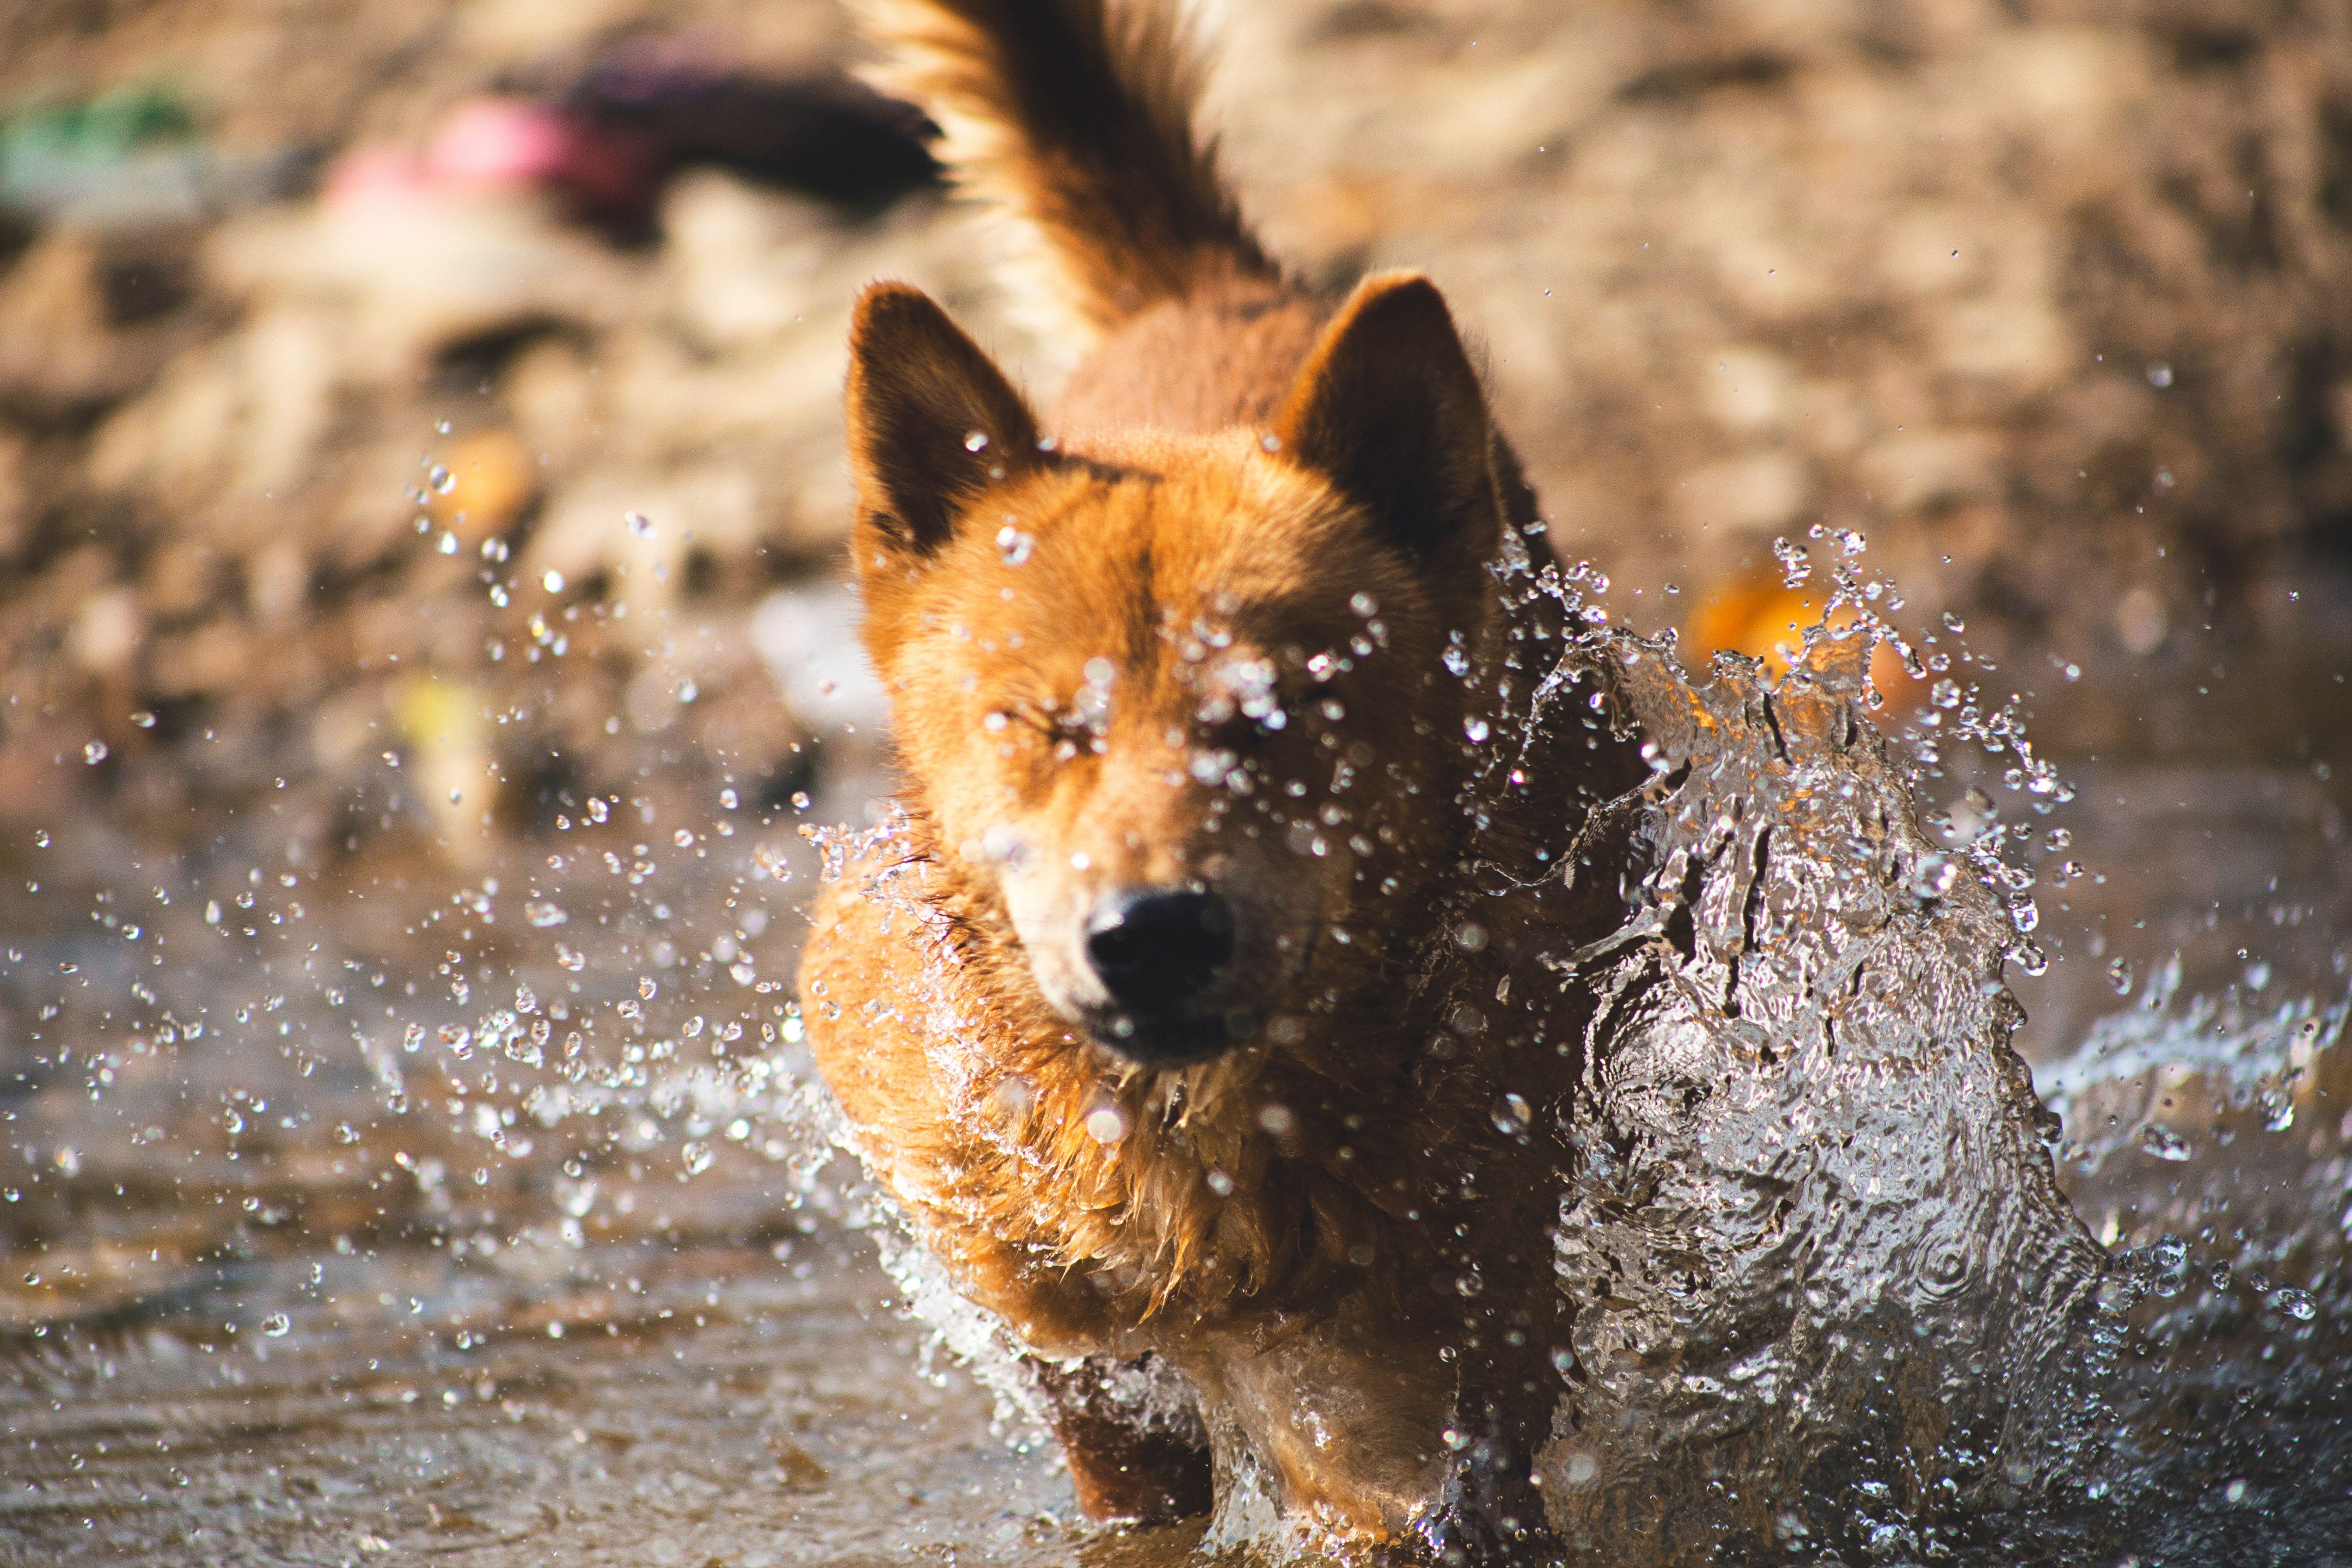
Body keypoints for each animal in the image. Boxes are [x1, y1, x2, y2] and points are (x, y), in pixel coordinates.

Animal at [795, 0, 1637, 1542]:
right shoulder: (1063, 1343)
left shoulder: (1430, 1379)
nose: (1152, 933)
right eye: (1045, 724)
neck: (1201, 1164)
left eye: (1278, 713)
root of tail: (1218, 296)